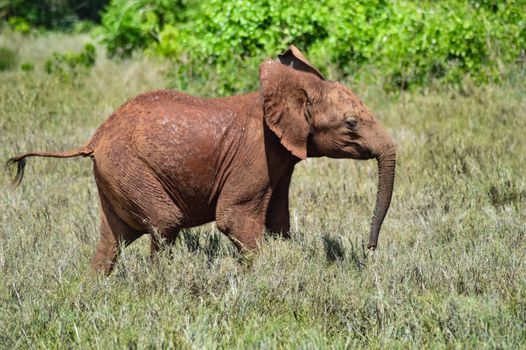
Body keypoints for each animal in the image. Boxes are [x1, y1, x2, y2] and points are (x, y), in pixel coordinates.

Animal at [7, 46, 396, 274]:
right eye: (351, 123)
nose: (370, 247)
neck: (289, 91)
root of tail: (96, 137)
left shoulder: (282, 160)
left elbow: (277, 223)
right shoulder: (258, 155)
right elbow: (234, 218)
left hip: (113, 175)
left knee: (112, 239)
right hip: (129, 168)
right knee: (164, 223)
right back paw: (159, 288)